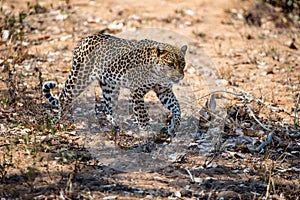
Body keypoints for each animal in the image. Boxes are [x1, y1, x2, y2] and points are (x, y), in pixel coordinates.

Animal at [42, 33, 188, 136]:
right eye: (171, 64)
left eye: (183, 64)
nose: (180, 77)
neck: (159, 73)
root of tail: (85, 40)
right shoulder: (137, 92)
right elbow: (142, 114)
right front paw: (146, 131)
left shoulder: (164, 91)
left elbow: (176, 108)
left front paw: (174, 126)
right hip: (80, 78)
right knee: (64, 96)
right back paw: (62, 121)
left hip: (110, 86)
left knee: (108, 108)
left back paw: (118, 126)